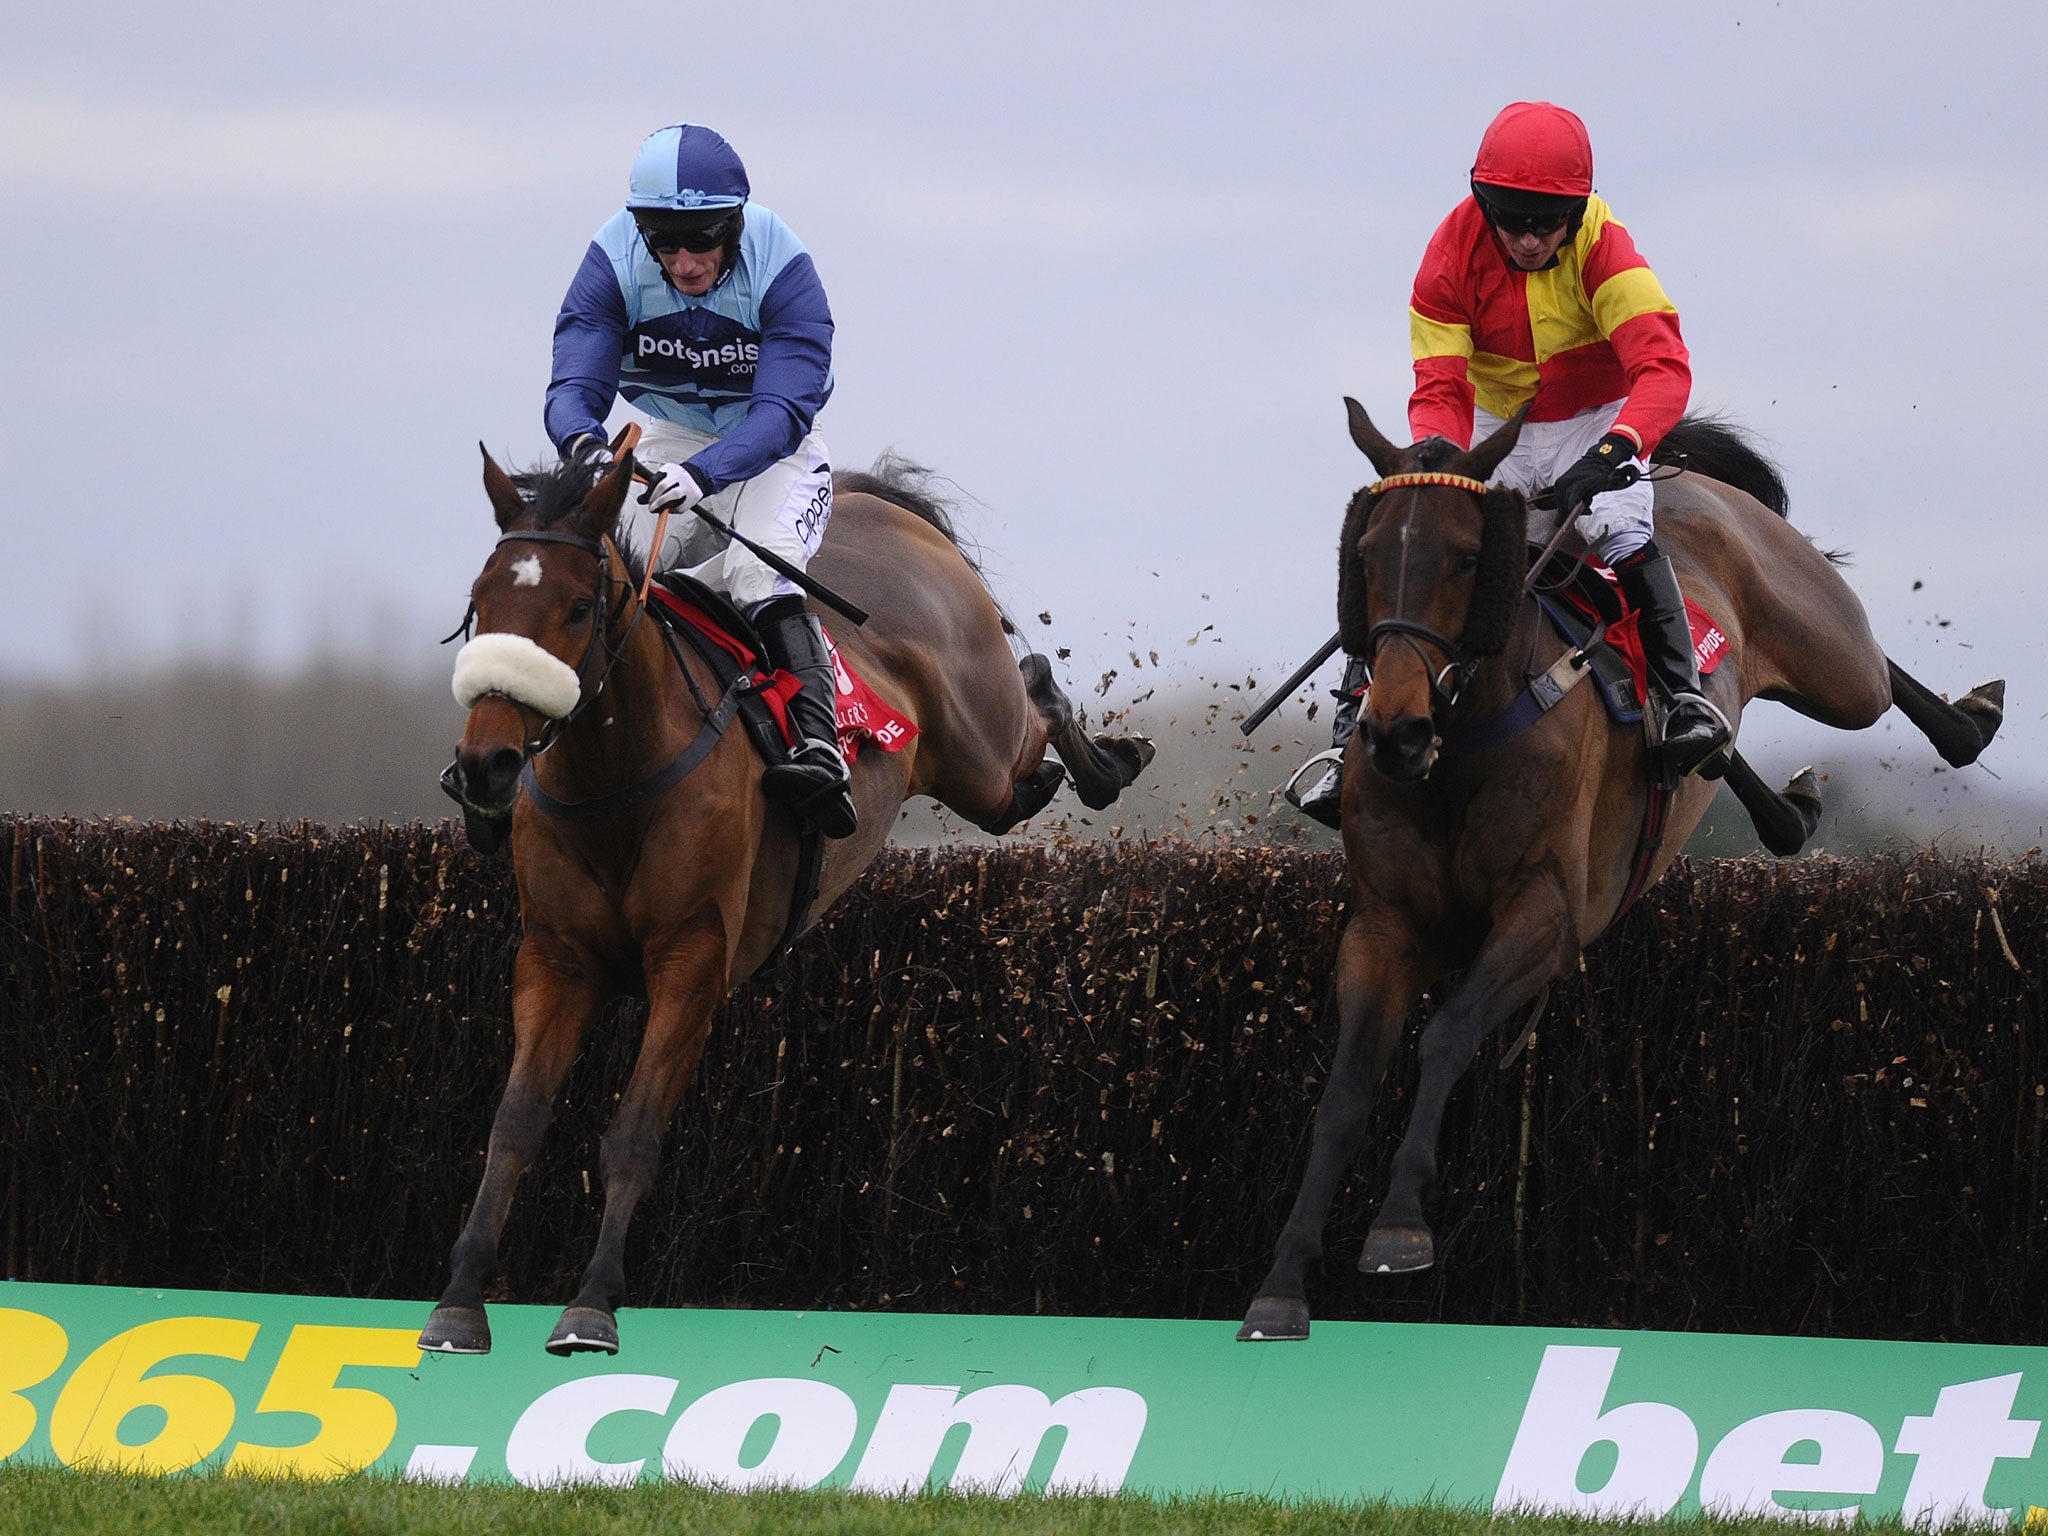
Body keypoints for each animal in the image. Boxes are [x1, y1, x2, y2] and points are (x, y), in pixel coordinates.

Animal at [419, 448, 1155, 1359]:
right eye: (479, 604)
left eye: (579, 607)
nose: (485, 766)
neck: (619, 778)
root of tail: (882, 504)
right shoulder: (556, 958)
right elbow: (516, 1120)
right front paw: (459, 1302)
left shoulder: (693, 962)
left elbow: (634, 1132)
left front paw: (591, 1305)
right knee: (1029, 753)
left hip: (979, 753)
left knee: (1036, 697)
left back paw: (1110, 763)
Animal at [1236, 399, 1990, 1343]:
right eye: (1365, 557)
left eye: (1470, 556)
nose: (1393, 734)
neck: (1461, 747)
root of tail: (1681, 478)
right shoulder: (1383, 928)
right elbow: (1344, 1091)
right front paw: (1282, 1283)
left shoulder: (1550, 914)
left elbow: (1447, 1031)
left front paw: (1400, 1226)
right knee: (1721, 748)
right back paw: (1773, 794)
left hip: (1831, 660)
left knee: (1875, 671)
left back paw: (1970, 721)